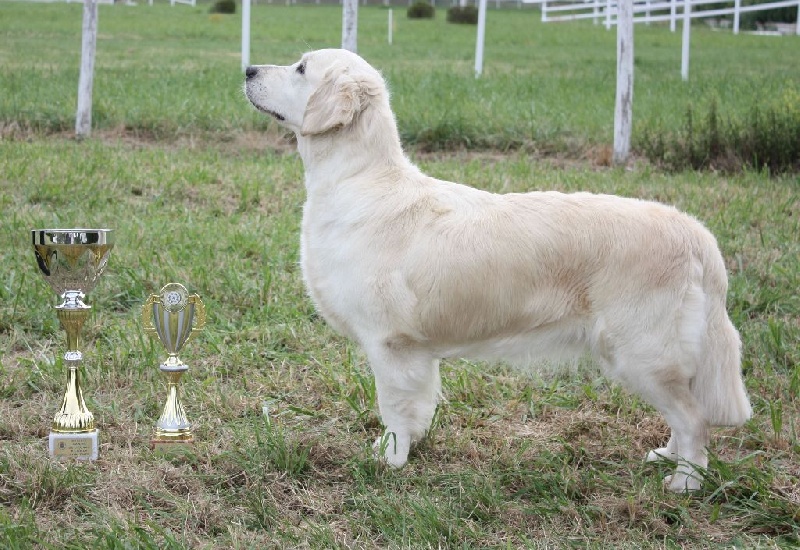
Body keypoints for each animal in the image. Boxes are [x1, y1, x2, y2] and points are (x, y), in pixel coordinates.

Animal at [242, 49, 752, 494]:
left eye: (301, 67)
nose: (247, 69)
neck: (361, 181)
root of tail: (696, 233)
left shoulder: (389, 342)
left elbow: (394, 408)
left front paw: (389, 459)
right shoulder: (415, 351)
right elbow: (417, 407)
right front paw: (408, 446)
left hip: (642, 352)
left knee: (694, 418)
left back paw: (685, 483)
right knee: (684, 414)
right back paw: (665, 456)